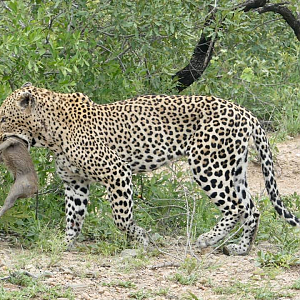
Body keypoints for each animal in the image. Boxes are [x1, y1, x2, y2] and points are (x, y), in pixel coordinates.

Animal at [0, 82, 298, 255]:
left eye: (2, 117)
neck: (48, 134)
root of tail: (246, 112)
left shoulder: (117, 172)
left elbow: (121, 218)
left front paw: (141, 239)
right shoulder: (75, 183)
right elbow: (73, 218)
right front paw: (63, 245)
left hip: (208, 165)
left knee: (236, 207)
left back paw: (206, 240)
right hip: (233, 168)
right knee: (252, 207)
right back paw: (241, 248)